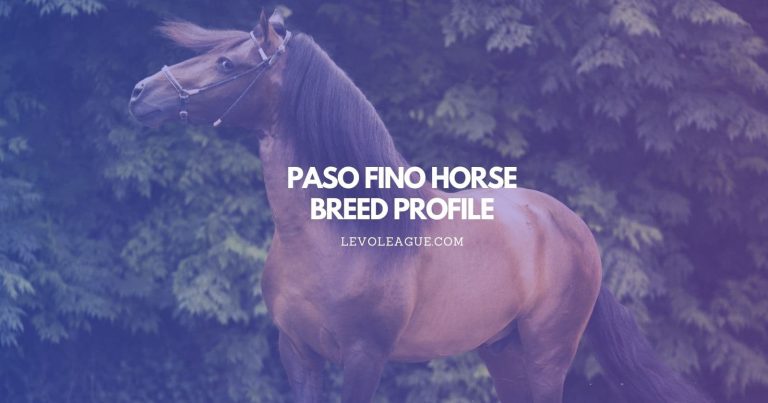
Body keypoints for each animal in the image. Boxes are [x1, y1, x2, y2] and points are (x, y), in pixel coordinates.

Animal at [128, 10, 710, 403]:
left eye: (227, 61)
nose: (140, 93)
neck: (341, 234)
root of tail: (568, 223)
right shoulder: (297, 352)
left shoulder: (364, 357)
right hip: (503, 350)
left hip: (550, 350)